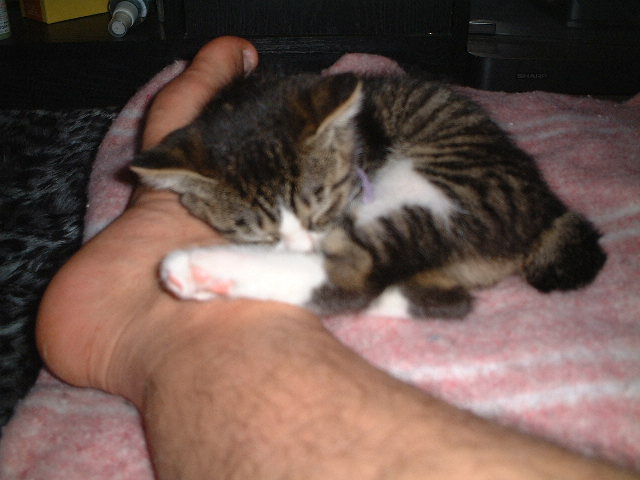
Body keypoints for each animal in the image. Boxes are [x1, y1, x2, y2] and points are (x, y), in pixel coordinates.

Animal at [130, 72, 606, 319]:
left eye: (321, 207)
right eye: (260, 234)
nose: (304, 245)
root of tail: (546, 208)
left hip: (442, 190)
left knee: (358, 275)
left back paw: (203, 270)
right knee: (447, 301)